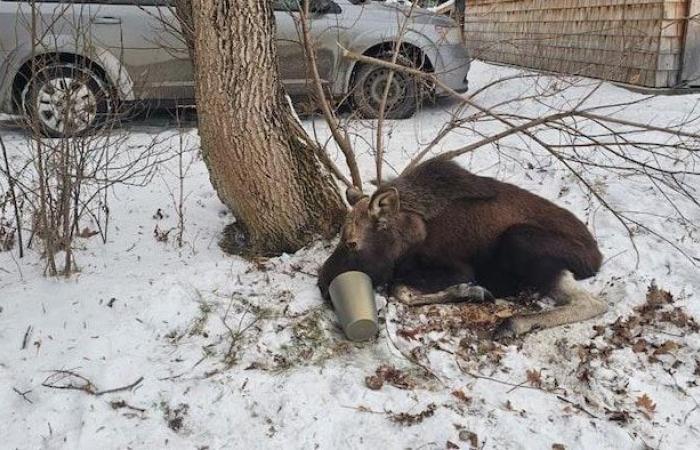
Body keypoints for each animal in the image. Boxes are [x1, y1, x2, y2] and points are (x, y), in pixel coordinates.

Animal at [318, 158, 608, 338]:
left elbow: (400, 290)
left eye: (352, 242)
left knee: (593, 302)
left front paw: (471, 291)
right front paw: (471, 293)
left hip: (520, 239)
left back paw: (513, 323)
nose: (321, 284)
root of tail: (597, 256)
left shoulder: (459, 269)